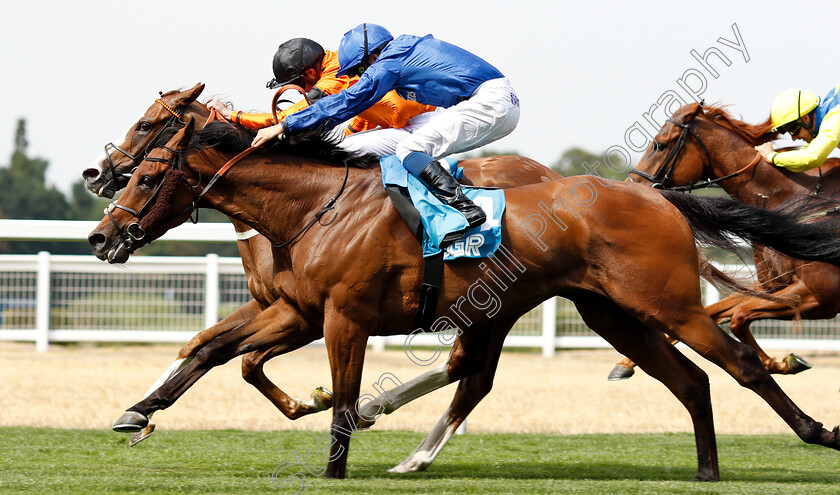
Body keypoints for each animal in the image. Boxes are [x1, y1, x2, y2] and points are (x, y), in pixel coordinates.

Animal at [80, 83, 564, 466]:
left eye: (146, 125)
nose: (94, 175)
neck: (301, 209)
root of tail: (552, 175)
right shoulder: (283, 306)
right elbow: (208, 346)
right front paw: (139, 412)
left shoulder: (315, 313)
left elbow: (241, 358)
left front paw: (320, 402)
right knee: (471, 371)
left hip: (491, 303)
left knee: (468, 370)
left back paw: (385, 420)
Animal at [616, 101, 840, 380]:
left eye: (660, 145)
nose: (629, 186)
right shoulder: (773, 287)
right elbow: (716, 313)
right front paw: (626, 362)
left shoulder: (820, 294)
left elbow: (739, 317)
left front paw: (781, 363)